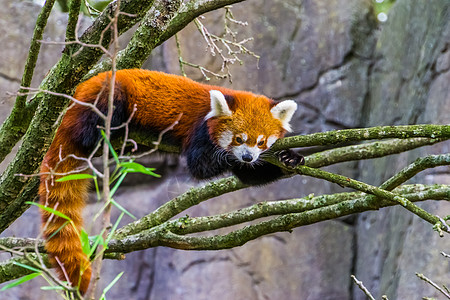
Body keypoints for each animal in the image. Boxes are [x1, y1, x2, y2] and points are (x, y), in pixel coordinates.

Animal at [38, 68, 304, 292]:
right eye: (238, 139)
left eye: (260, 141)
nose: (248, 156)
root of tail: (79, 91)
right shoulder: (199, 133)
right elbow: (201, 166)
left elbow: (249, 175)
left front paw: (289, 158)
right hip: (108, 94)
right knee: (93, 124)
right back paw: (109, 132)